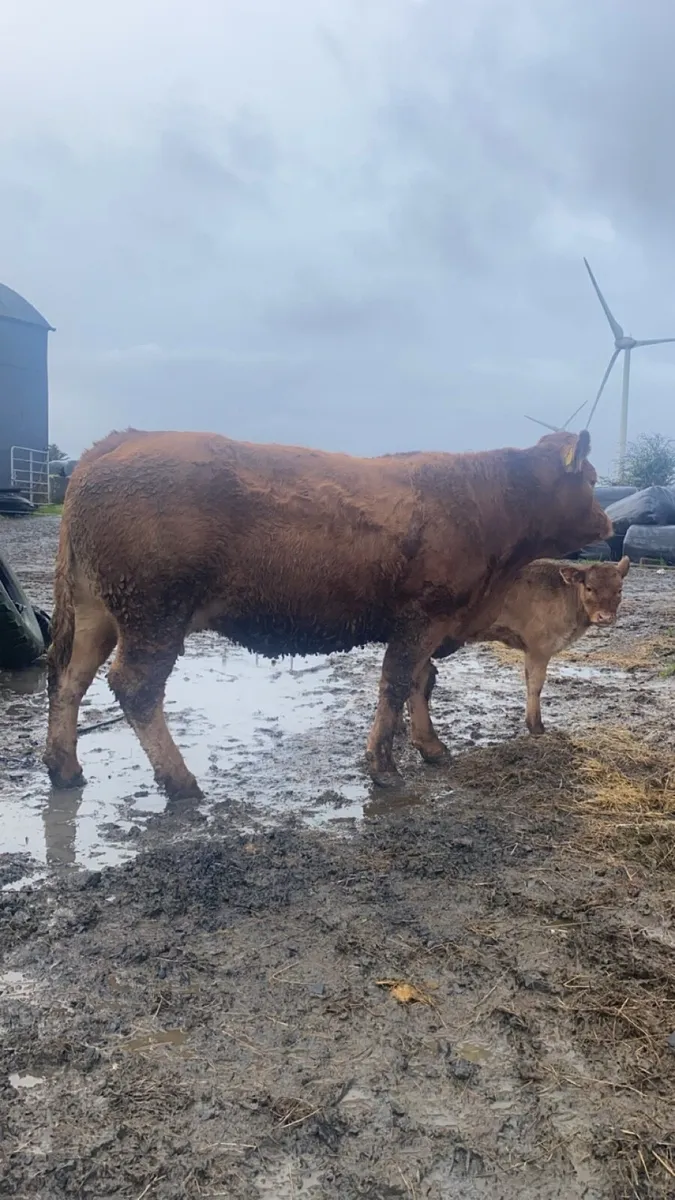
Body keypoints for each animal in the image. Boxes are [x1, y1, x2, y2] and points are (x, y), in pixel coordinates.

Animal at [398, 556, 630, 748]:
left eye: (619, 590)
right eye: (589, 588)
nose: (605, 617)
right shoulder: (539, 648)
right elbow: (535, 684)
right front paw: (535, 726)